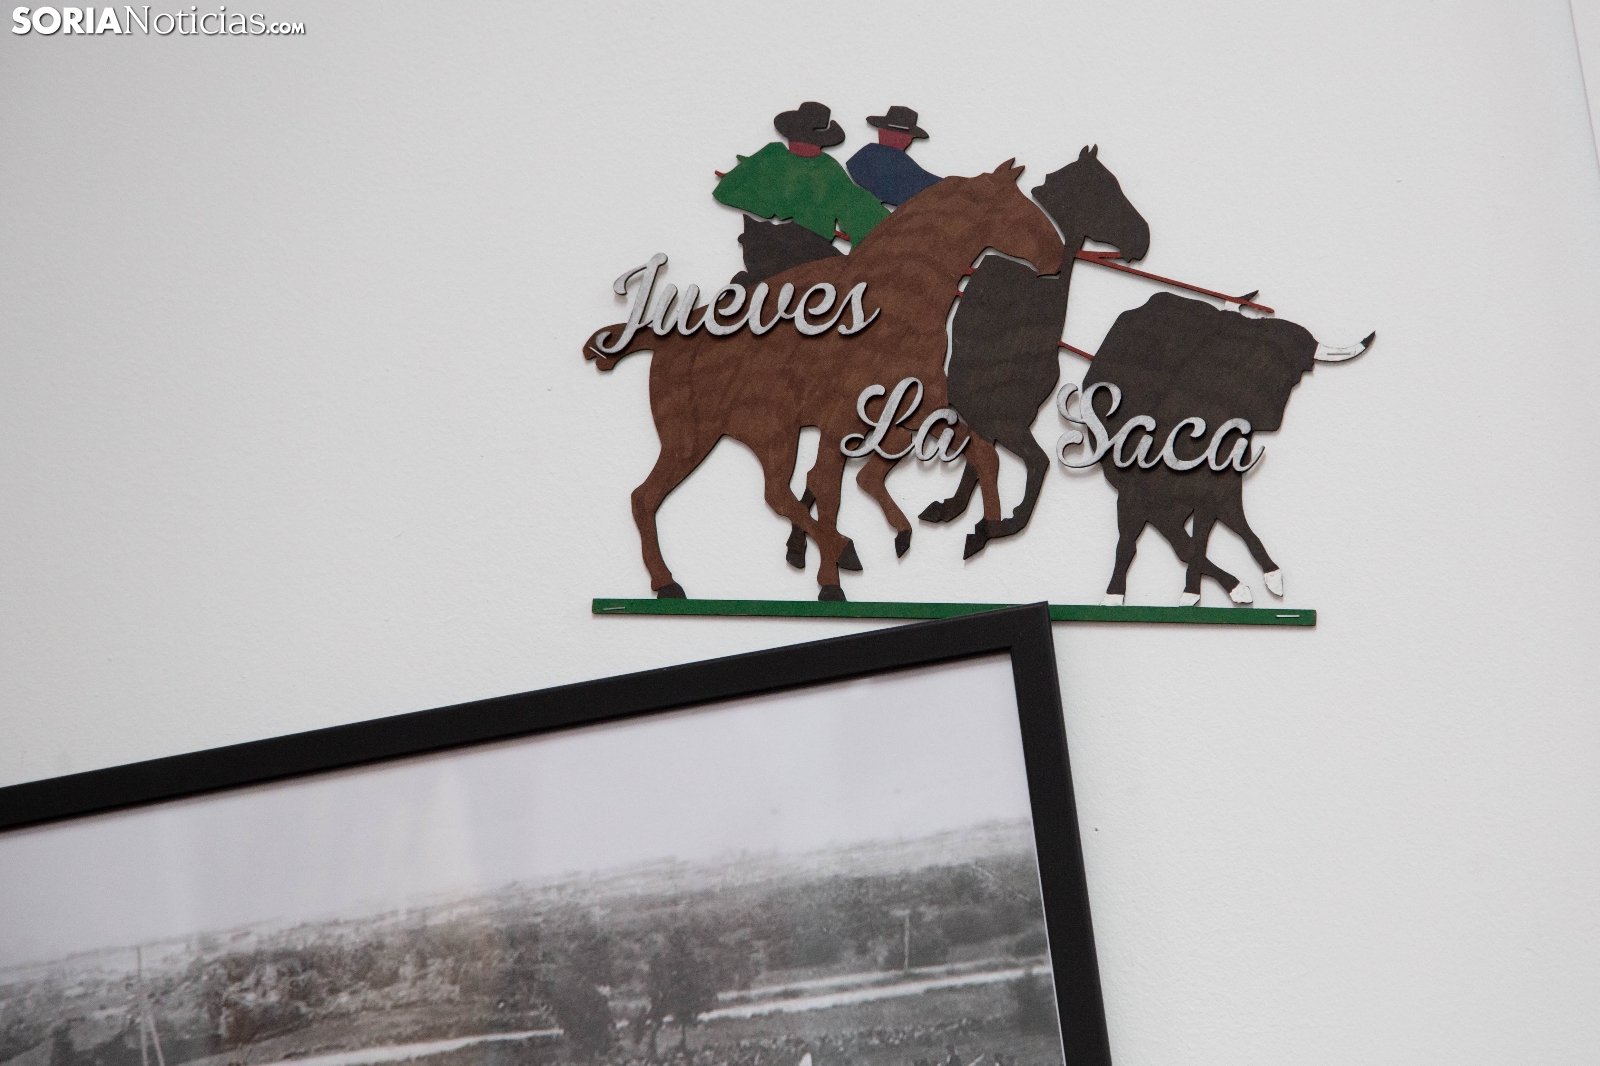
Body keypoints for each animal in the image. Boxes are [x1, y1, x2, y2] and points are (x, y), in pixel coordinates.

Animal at [583, 161, 1064, 600]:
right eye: (1018, 211)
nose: (1057, 258)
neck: (894, 305)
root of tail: (663, 338)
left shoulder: (914, 411)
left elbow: (982, 455)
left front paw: (987, 528)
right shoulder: (840, 422)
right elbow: (829, 490)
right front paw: (832, 581)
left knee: (691, 496)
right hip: (728, 435)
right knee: (734, 495)